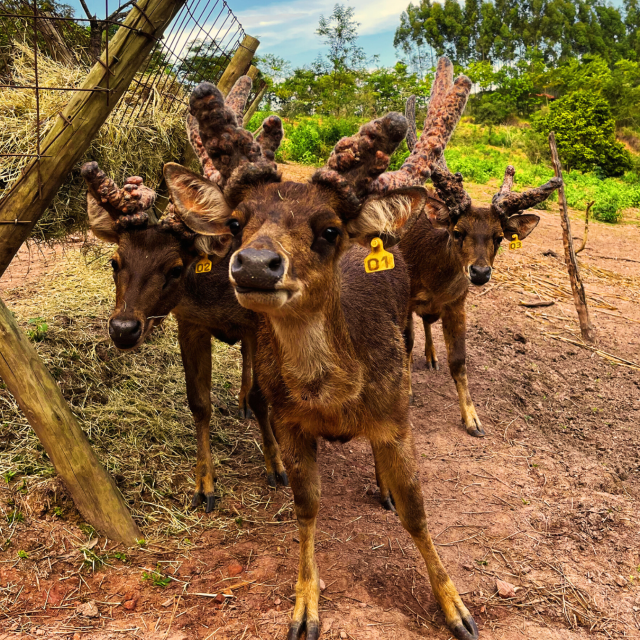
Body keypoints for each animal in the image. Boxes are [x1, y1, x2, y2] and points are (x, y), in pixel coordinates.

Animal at [80, 77, 288, 513]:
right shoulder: (189, 323)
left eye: (176, 267)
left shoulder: (257, 322)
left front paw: (276, 464)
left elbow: (262, 394)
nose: (123, 328)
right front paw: (204, 486)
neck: (218, 291)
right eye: (114, 261)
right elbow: (199, 403)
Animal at [162, 57, 479, 640]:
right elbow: (306, 507)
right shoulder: (290, 422)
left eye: (329, 229)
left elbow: (417, 511)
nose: (255, 264)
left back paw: (381, 485)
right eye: (236, 222)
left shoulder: (396, 415)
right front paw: (304, 607)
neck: (333, 399)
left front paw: (456, 608)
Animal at [400, 97, 562, 437]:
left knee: (428, 323)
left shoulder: (457, 304)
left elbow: (459, 361)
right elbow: (406, 342)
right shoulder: (405, 294)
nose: (479, 272)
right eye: (458, 231)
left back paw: (432, 356)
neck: (432, 280)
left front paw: (473, 419)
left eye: (499, 237)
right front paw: (406, 391)